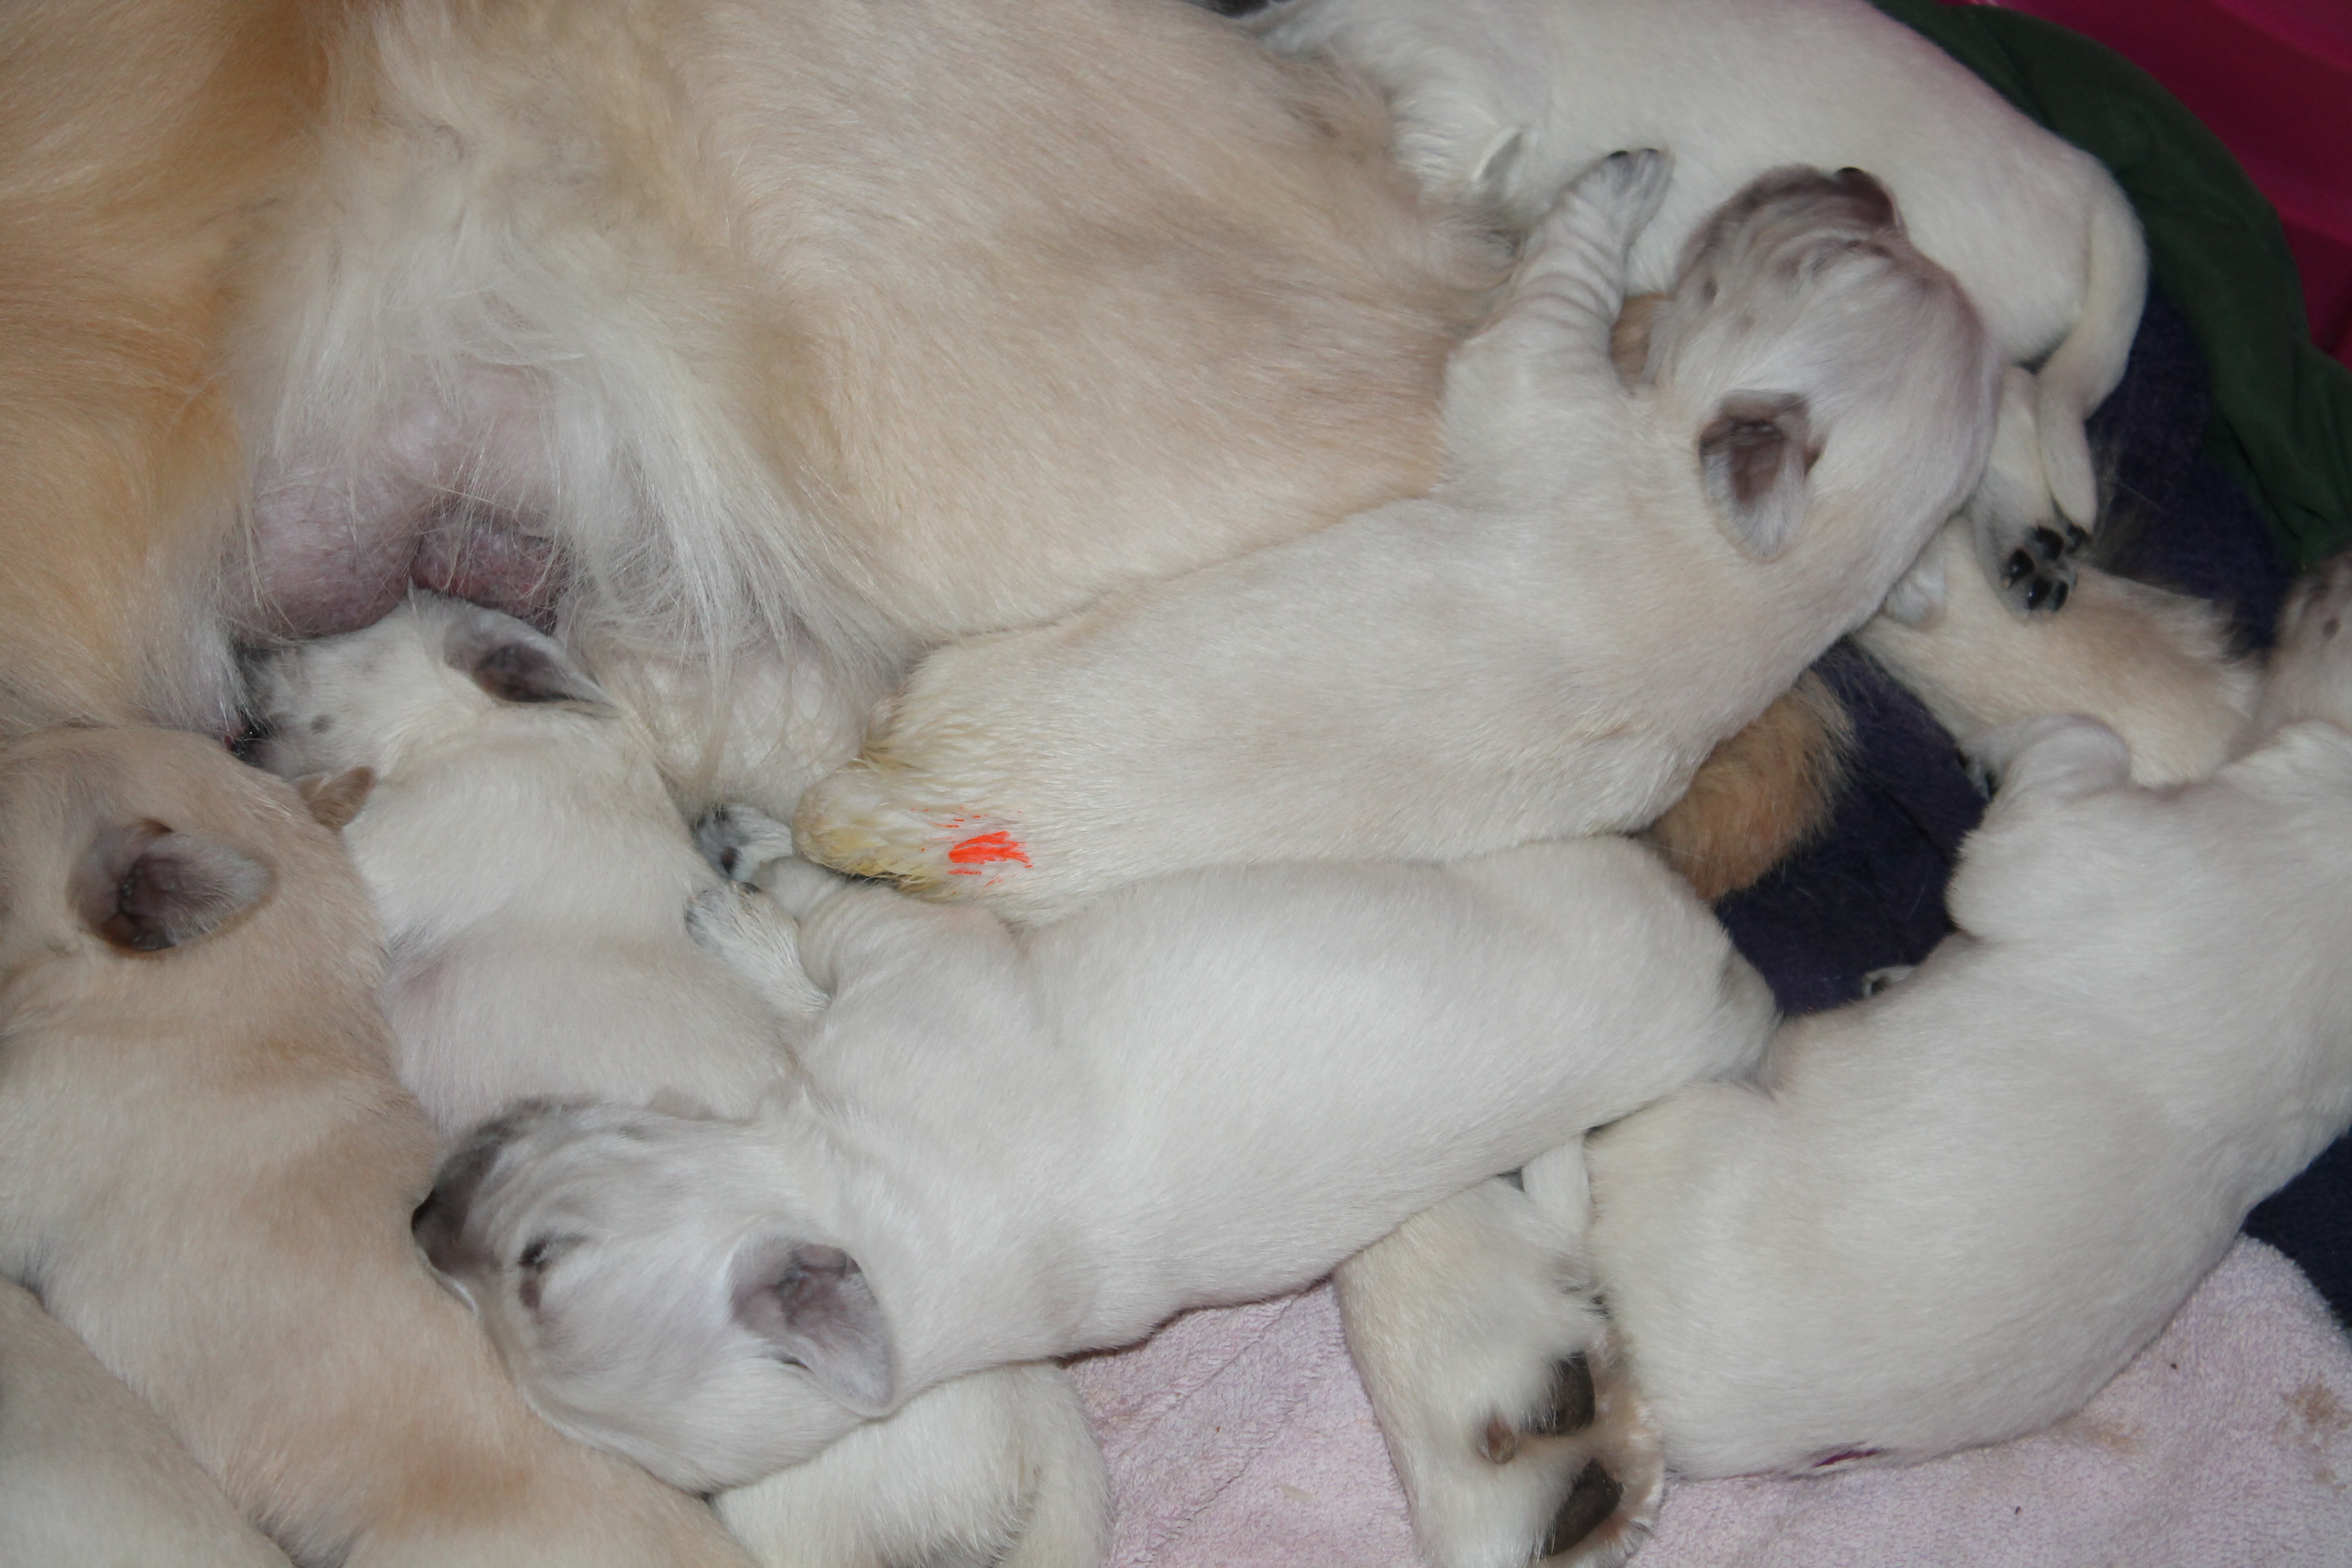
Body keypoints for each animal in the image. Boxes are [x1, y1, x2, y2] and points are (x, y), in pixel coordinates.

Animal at [250, 594, 1114, 1568]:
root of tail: (1041, 1450)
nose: (247, 662)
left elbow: (325, 822)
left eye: (352, 634)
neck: (505, 727)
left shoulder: (405, 835)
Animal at [793, 151, 1999, 924]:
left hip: (971, 676)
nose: (1857, 177)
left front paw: (1627, 174)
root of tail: (926, 821)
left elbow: (1553, 292)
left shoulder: (1544, 395)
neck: (1774, 575)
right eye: (1871, 237)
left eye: (1822, 255)